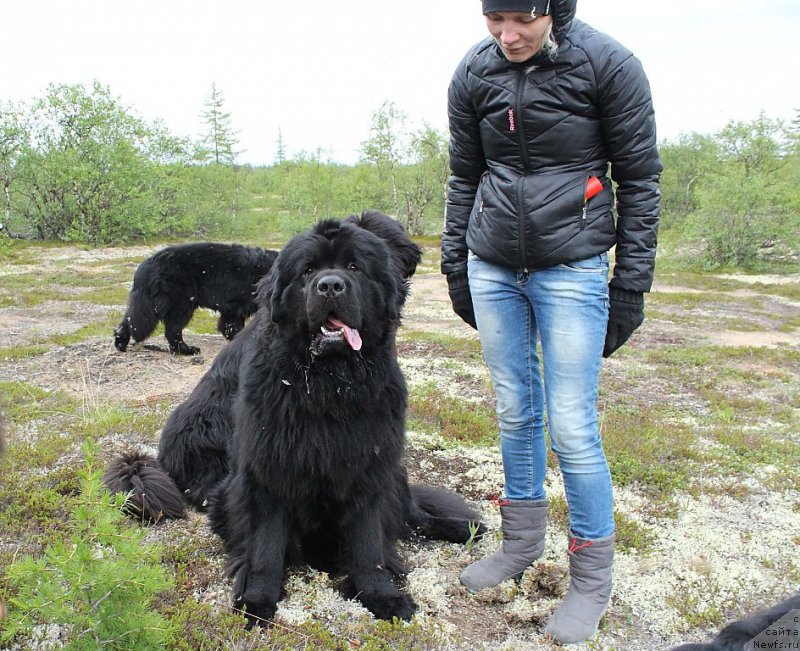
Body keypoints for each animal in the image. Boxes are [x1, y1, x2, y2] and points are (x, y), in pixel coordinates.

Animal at [113, 243, 278, 356]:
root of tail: (144, 268)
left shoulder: (234, 307)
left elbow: (230, 323)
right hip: (180, 299)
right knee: (173, 327)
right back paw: (186, 349)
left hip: (148, 301)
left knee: (132, 318)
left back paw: (120, 341)